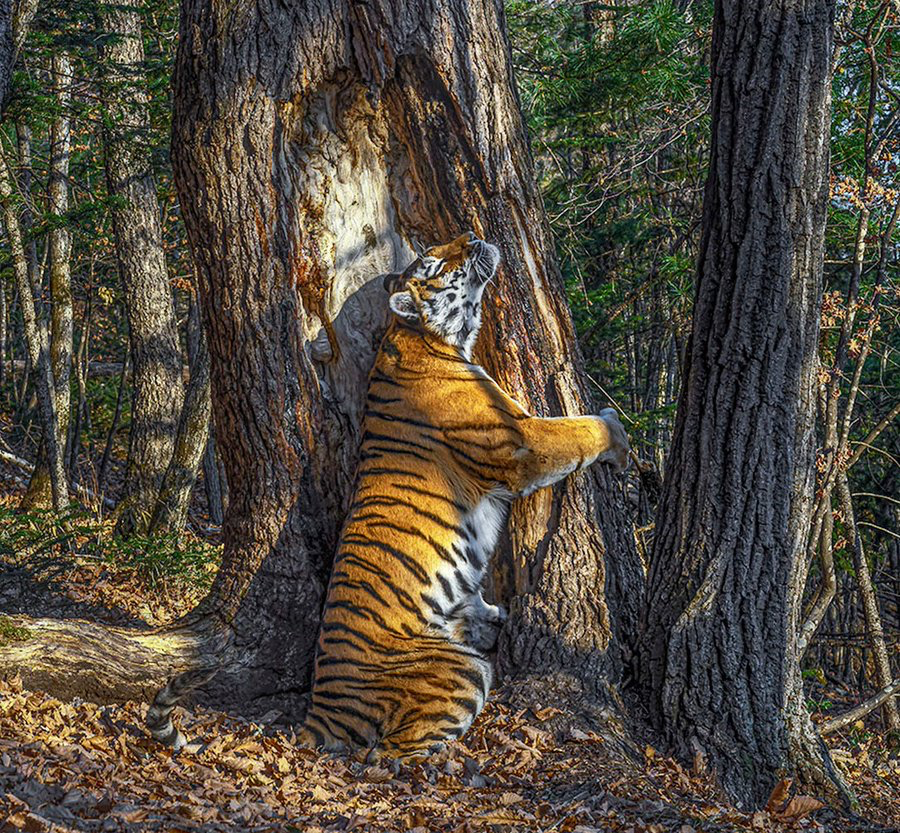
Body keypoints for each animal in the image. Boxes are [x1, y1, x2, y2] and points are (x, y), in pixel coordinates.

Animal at [296, 231, 630, 762]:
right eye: (435, 263)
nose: (471, 235)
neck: (425, 338)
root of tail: (319, 709)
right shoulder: (520, 441)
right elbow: (578, 430)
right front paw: (617, 433)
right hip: (460, 672)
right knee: (392, 755)